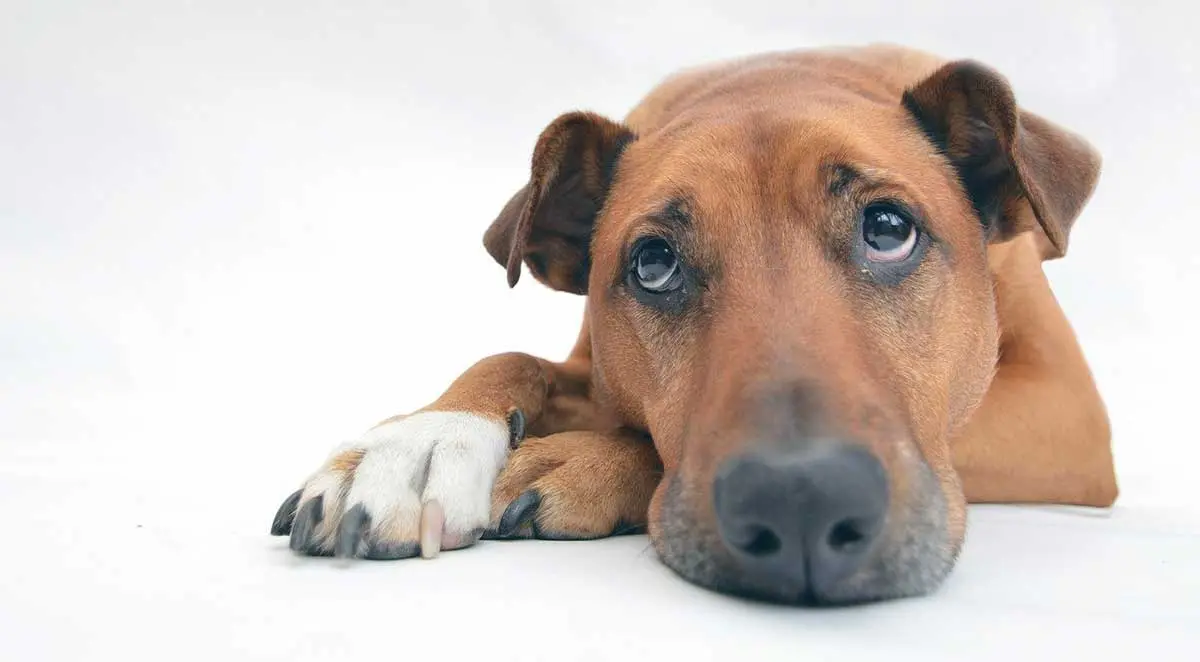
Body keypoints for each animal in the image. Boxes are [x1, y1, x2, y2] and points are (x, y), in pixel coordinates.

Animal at [270, 42, 1113, 604]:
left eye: (887, 228)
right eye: (652, 264)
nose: (801, 500)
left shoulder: (1066, 409)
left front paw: (586, 460)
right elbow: (511, 356)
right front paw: (420, 443)